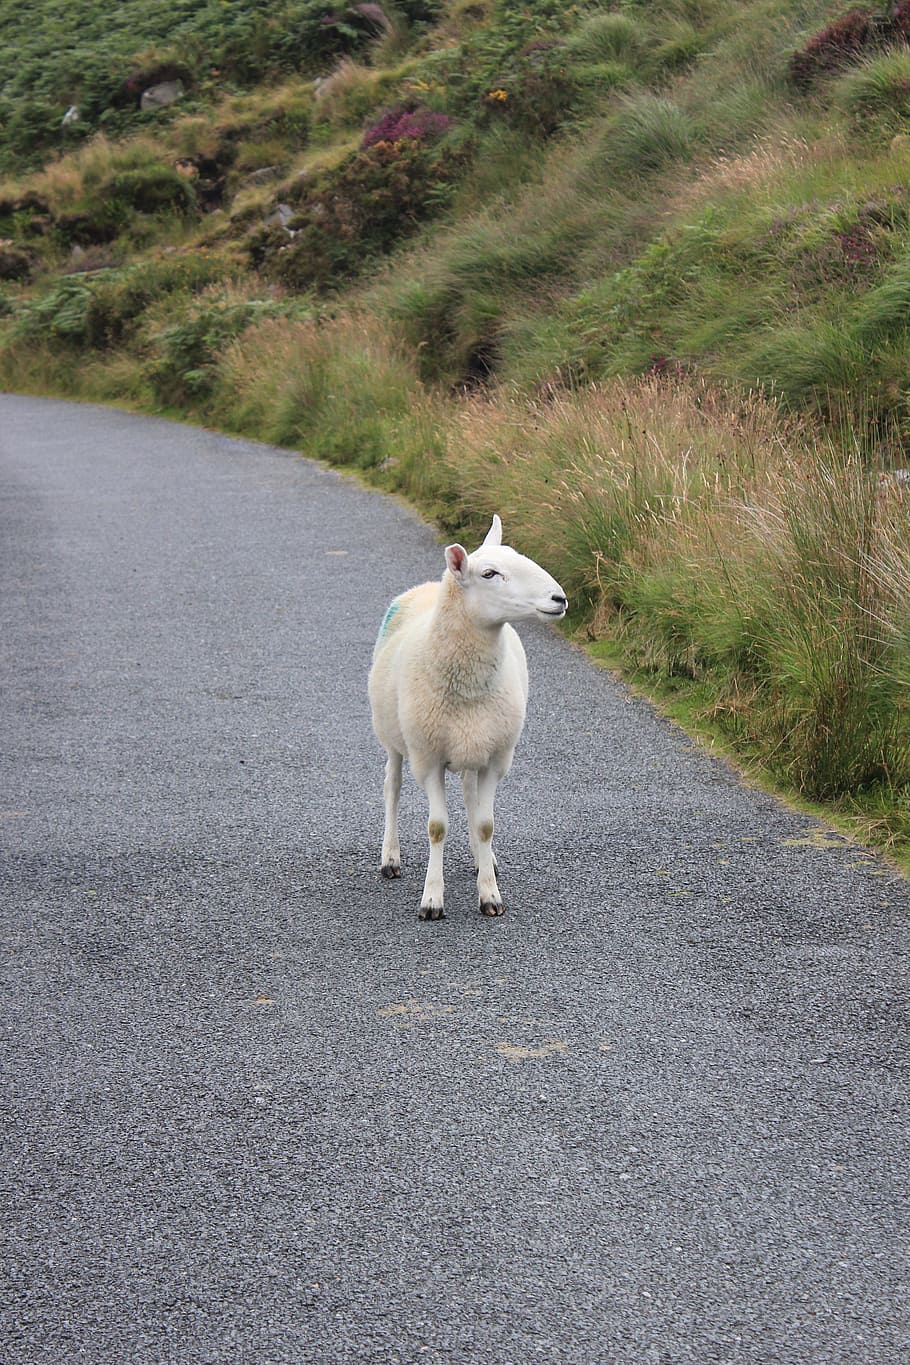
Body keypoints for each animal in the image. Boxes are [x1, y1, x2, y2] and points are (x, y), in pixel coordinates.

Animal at [368, 514, 568, 920]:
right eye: (489, 573)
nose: (560, 599)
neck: (468, 685)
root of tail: (428, 585)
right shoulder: (428, 759)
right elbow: (437, 828)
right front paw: (432, 899)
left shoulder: (496, 758)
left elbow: (485, 823)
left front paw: (489, 893)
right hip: (394, 738)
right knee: (392, 787)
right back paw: (390, 857)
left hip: (474, 743)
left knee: (470, 796)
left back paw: (481, 859)